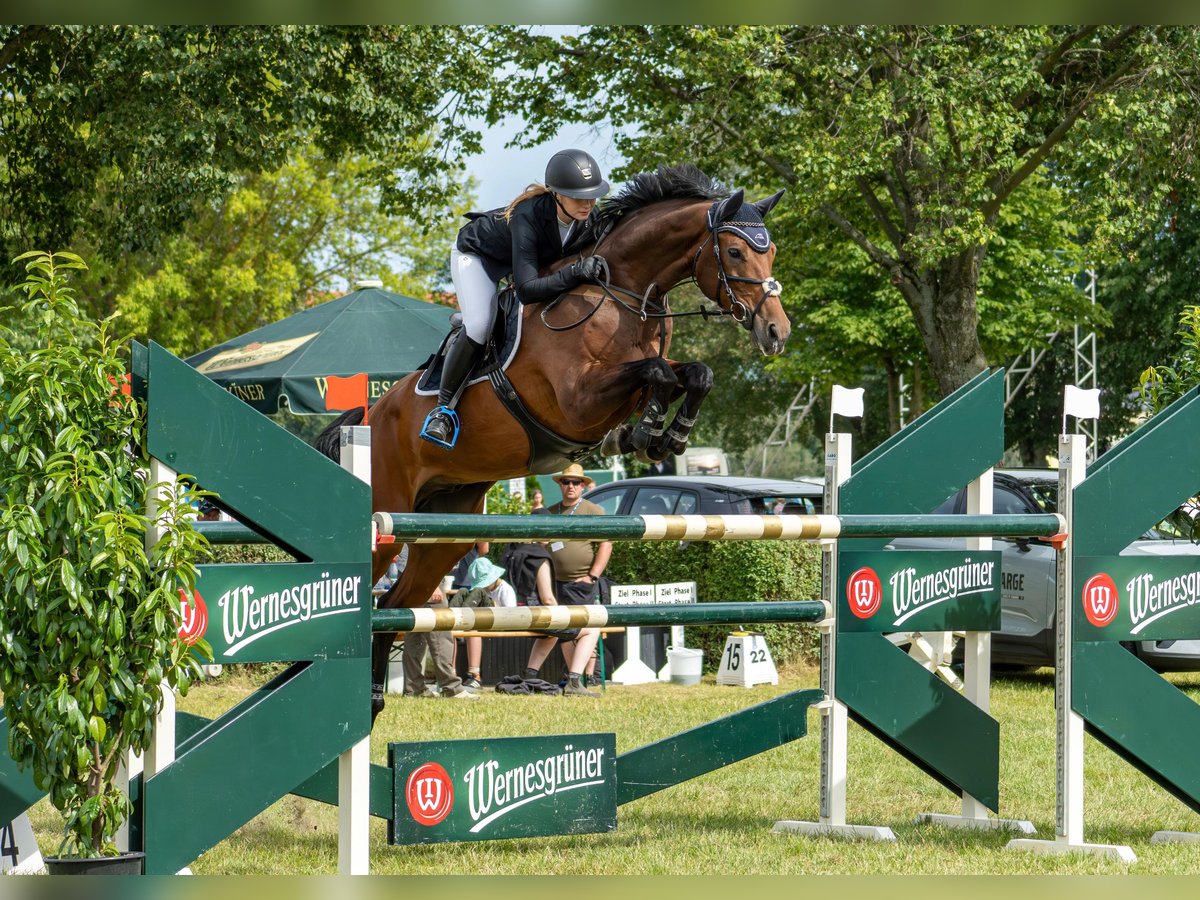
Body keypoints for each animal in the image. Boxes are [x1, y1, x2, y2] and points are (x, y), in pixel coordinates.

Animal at [314, 164, 792, 720]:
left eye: (771, 253)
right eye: (735, 252)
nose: (777, 332)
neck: (623, 293)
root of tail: (371, 415)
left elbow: (694, 373)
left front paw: (661, 435)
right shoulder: (576, 401)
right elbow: (655, 373)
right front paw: (646, 430)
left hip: (445, 529)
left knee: (395, 607)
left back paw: (372, 699)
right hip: (388, 517)